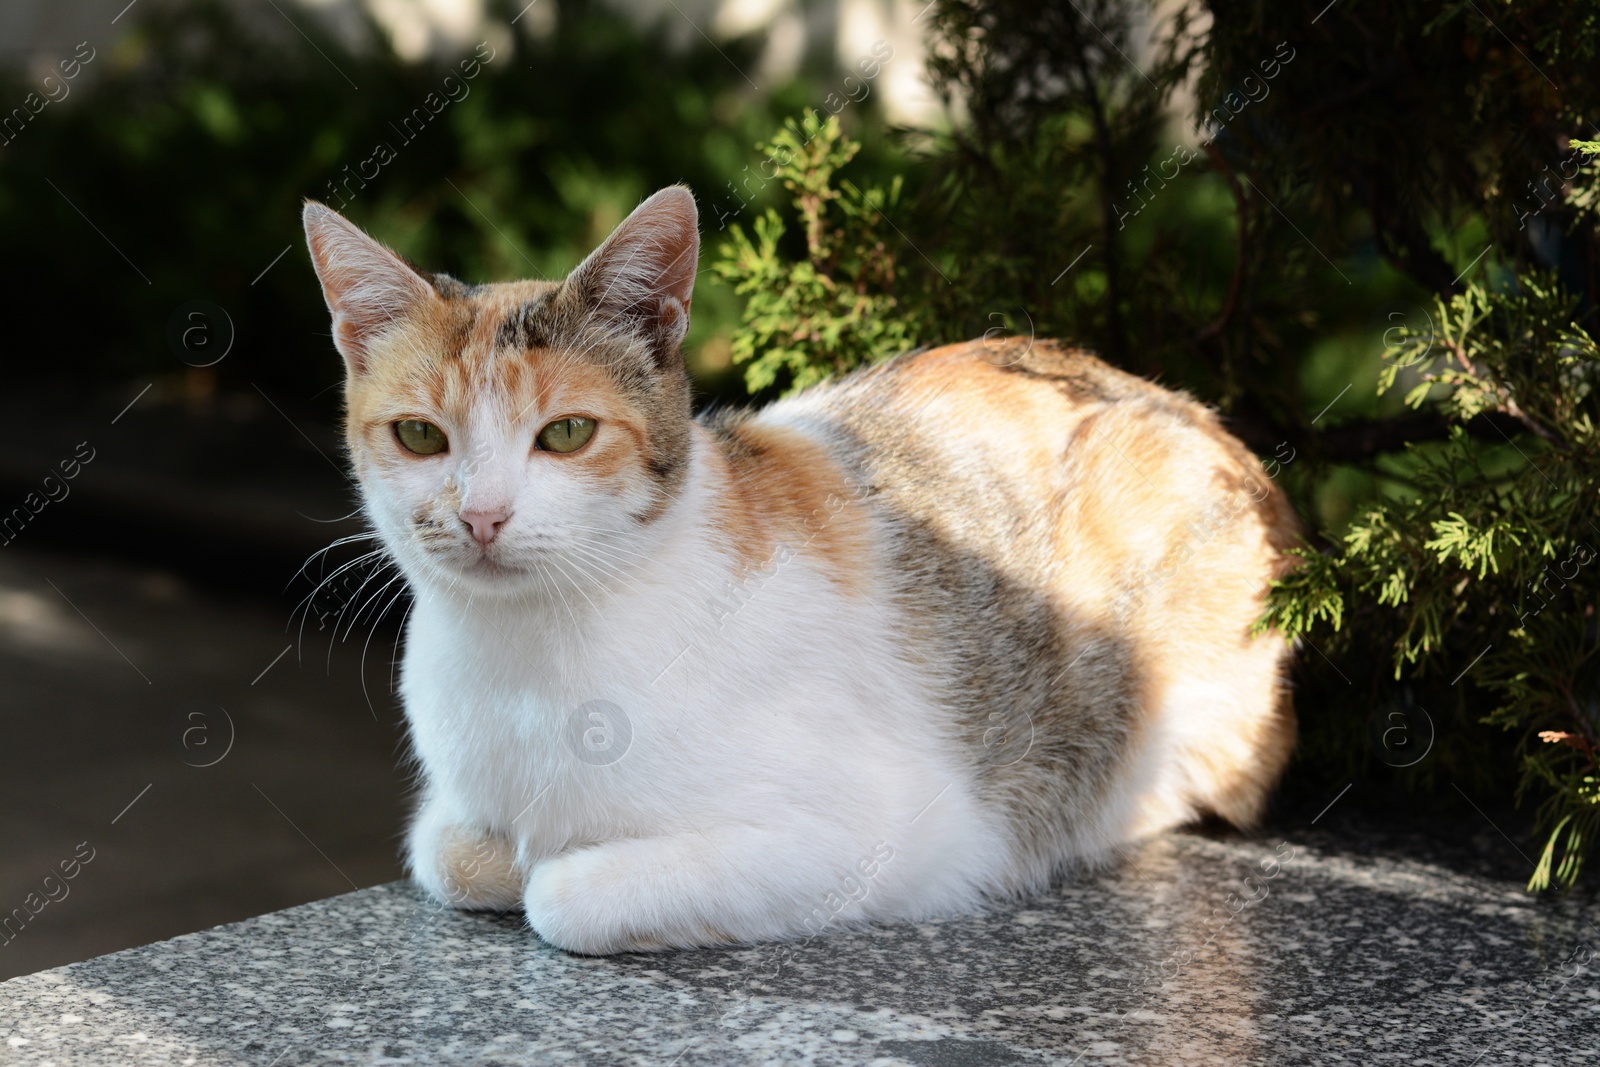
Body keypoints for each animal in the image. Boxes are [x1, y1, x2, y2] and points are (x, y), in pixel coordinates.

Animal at [302, 187, 1299, 953]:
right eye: (420, 435)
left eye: (568, 433)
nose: (482, 515)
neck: (524, 661)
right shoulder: (453, 815)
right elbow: (450, 852)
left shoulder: (898, 834)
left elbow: (562, 894)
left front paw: (553, 867)